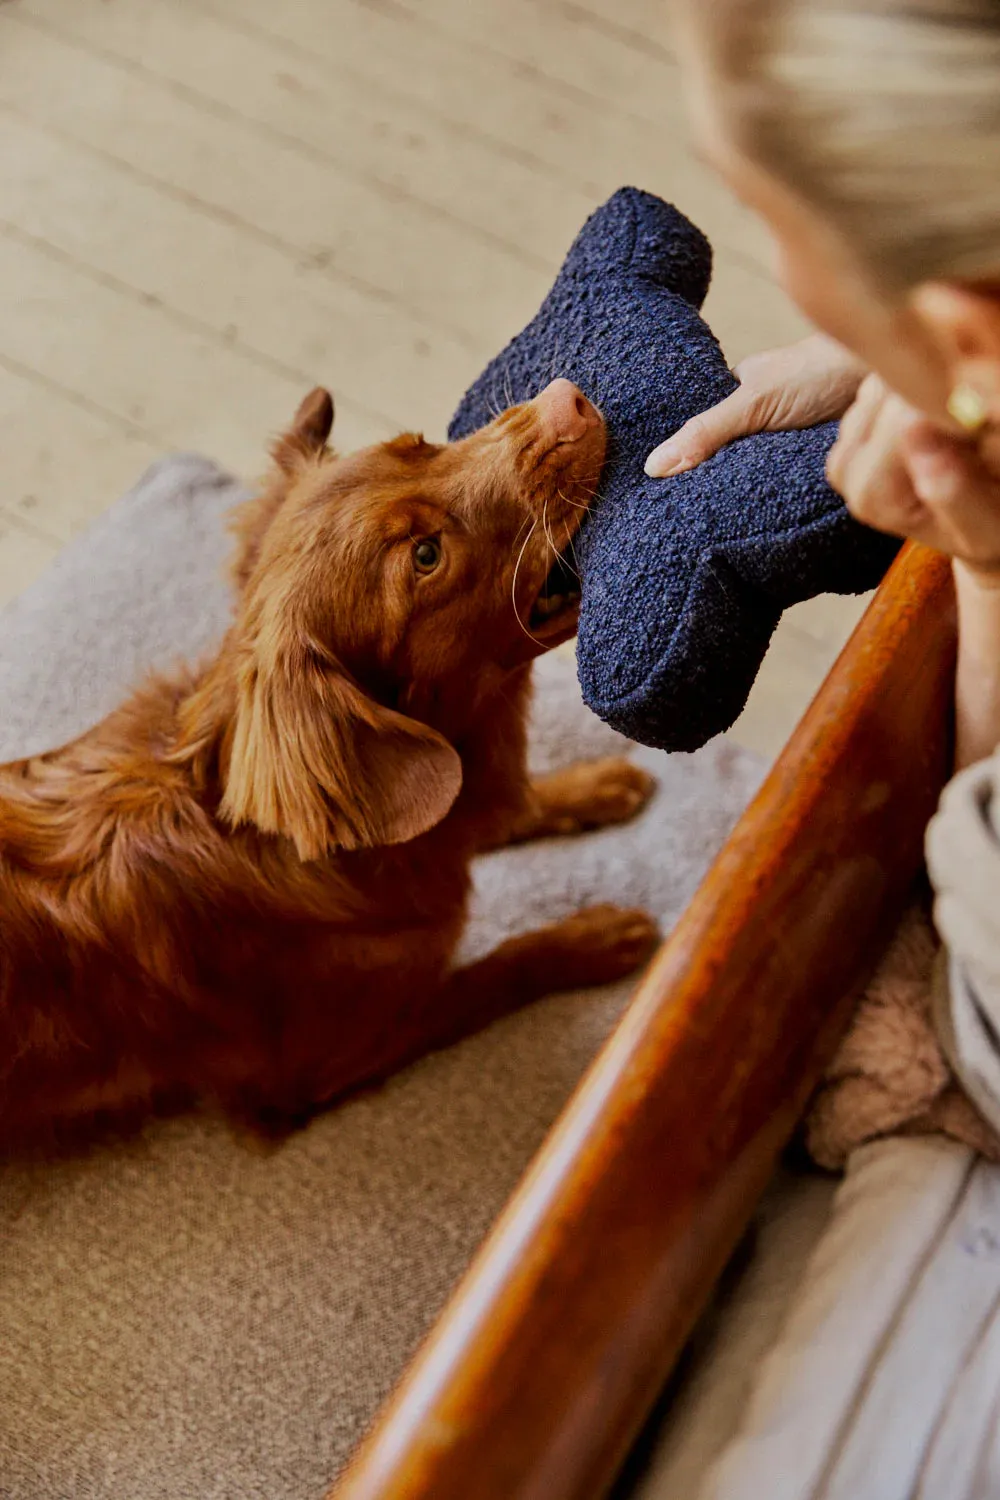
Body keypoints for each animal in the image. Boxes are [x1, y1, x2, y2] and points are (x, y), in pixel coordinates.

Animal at [0, 378, 656, 1146]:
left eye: (418, 447)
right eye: (425, 556)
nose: (567, 399)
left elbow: (505, 805)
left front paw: (596, 785)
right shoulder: (319, 1067)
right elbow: (490, 973)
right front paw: (595, 935)